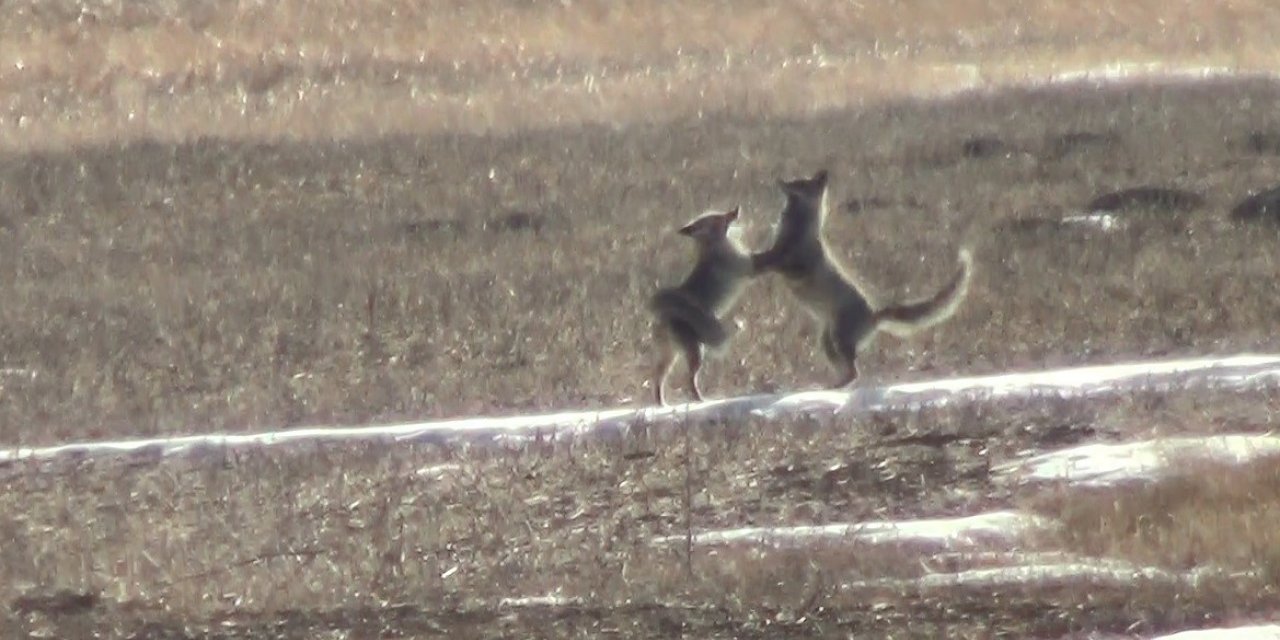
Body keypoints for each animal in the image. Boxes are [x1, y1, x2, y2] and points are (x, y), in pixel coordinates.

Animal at [645, 204, 752, 404]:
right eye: (718, 217)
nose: (737, 209)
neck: (711, 247)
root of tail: (665, 316)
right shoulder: (744, 266)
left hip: (670, 356)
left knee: (657, 379)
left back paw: (662, 404)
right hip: (696, 353)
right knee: (688, 380)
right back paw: (699, 400)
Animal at [747, 170, 967, 386]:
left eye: (799, 182)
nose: (780, 181)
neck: (801, 226)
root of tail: (874, 314)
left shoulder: (792, 264)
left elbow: (764, 260)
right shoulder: (780, 254)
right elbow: (764, 258)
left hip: (838, 337)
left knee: (855, 372)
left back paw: (835, 386)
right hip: (827, 341)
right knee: (849, 370)